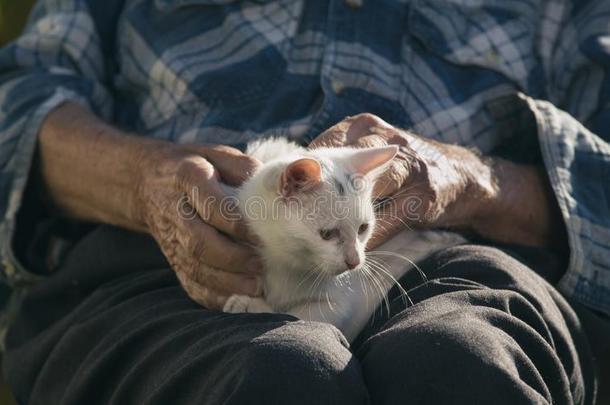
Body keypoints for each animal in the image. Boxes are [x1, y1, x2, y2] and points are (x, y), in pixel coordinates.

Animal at [222, 137, 460, 340]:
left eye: (363, 228)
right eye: (327, 234)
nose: (354, 261)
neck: (287, 260)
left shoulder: (345, 303)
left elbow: (301, 315)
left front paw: (251, 305)